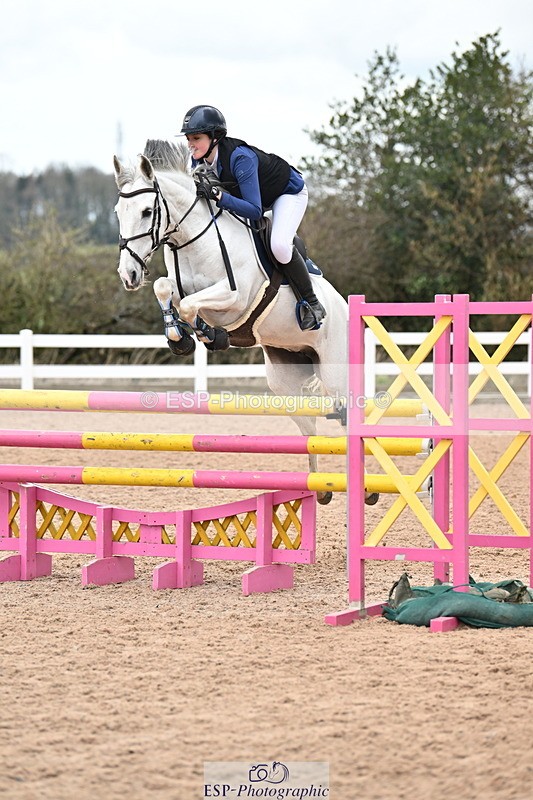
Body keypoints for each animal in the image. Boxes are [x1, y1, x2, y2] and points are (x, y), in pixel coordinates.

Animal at [113, 139, 377, 505]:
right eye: (118, 212)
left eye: (146, 212)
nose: (128, 275)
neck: (194, 240)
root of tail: (346, 309)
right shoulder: (179, 287)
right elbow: (166, 290)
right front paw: (180, 338)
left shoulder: (234, 298)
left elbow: (191, 306)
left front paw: (210, 335)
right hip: (285, 379)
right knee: (309, 427)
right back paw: (320, 488)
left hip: (335, 371)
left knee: (349, 419)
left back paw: (366, 489)